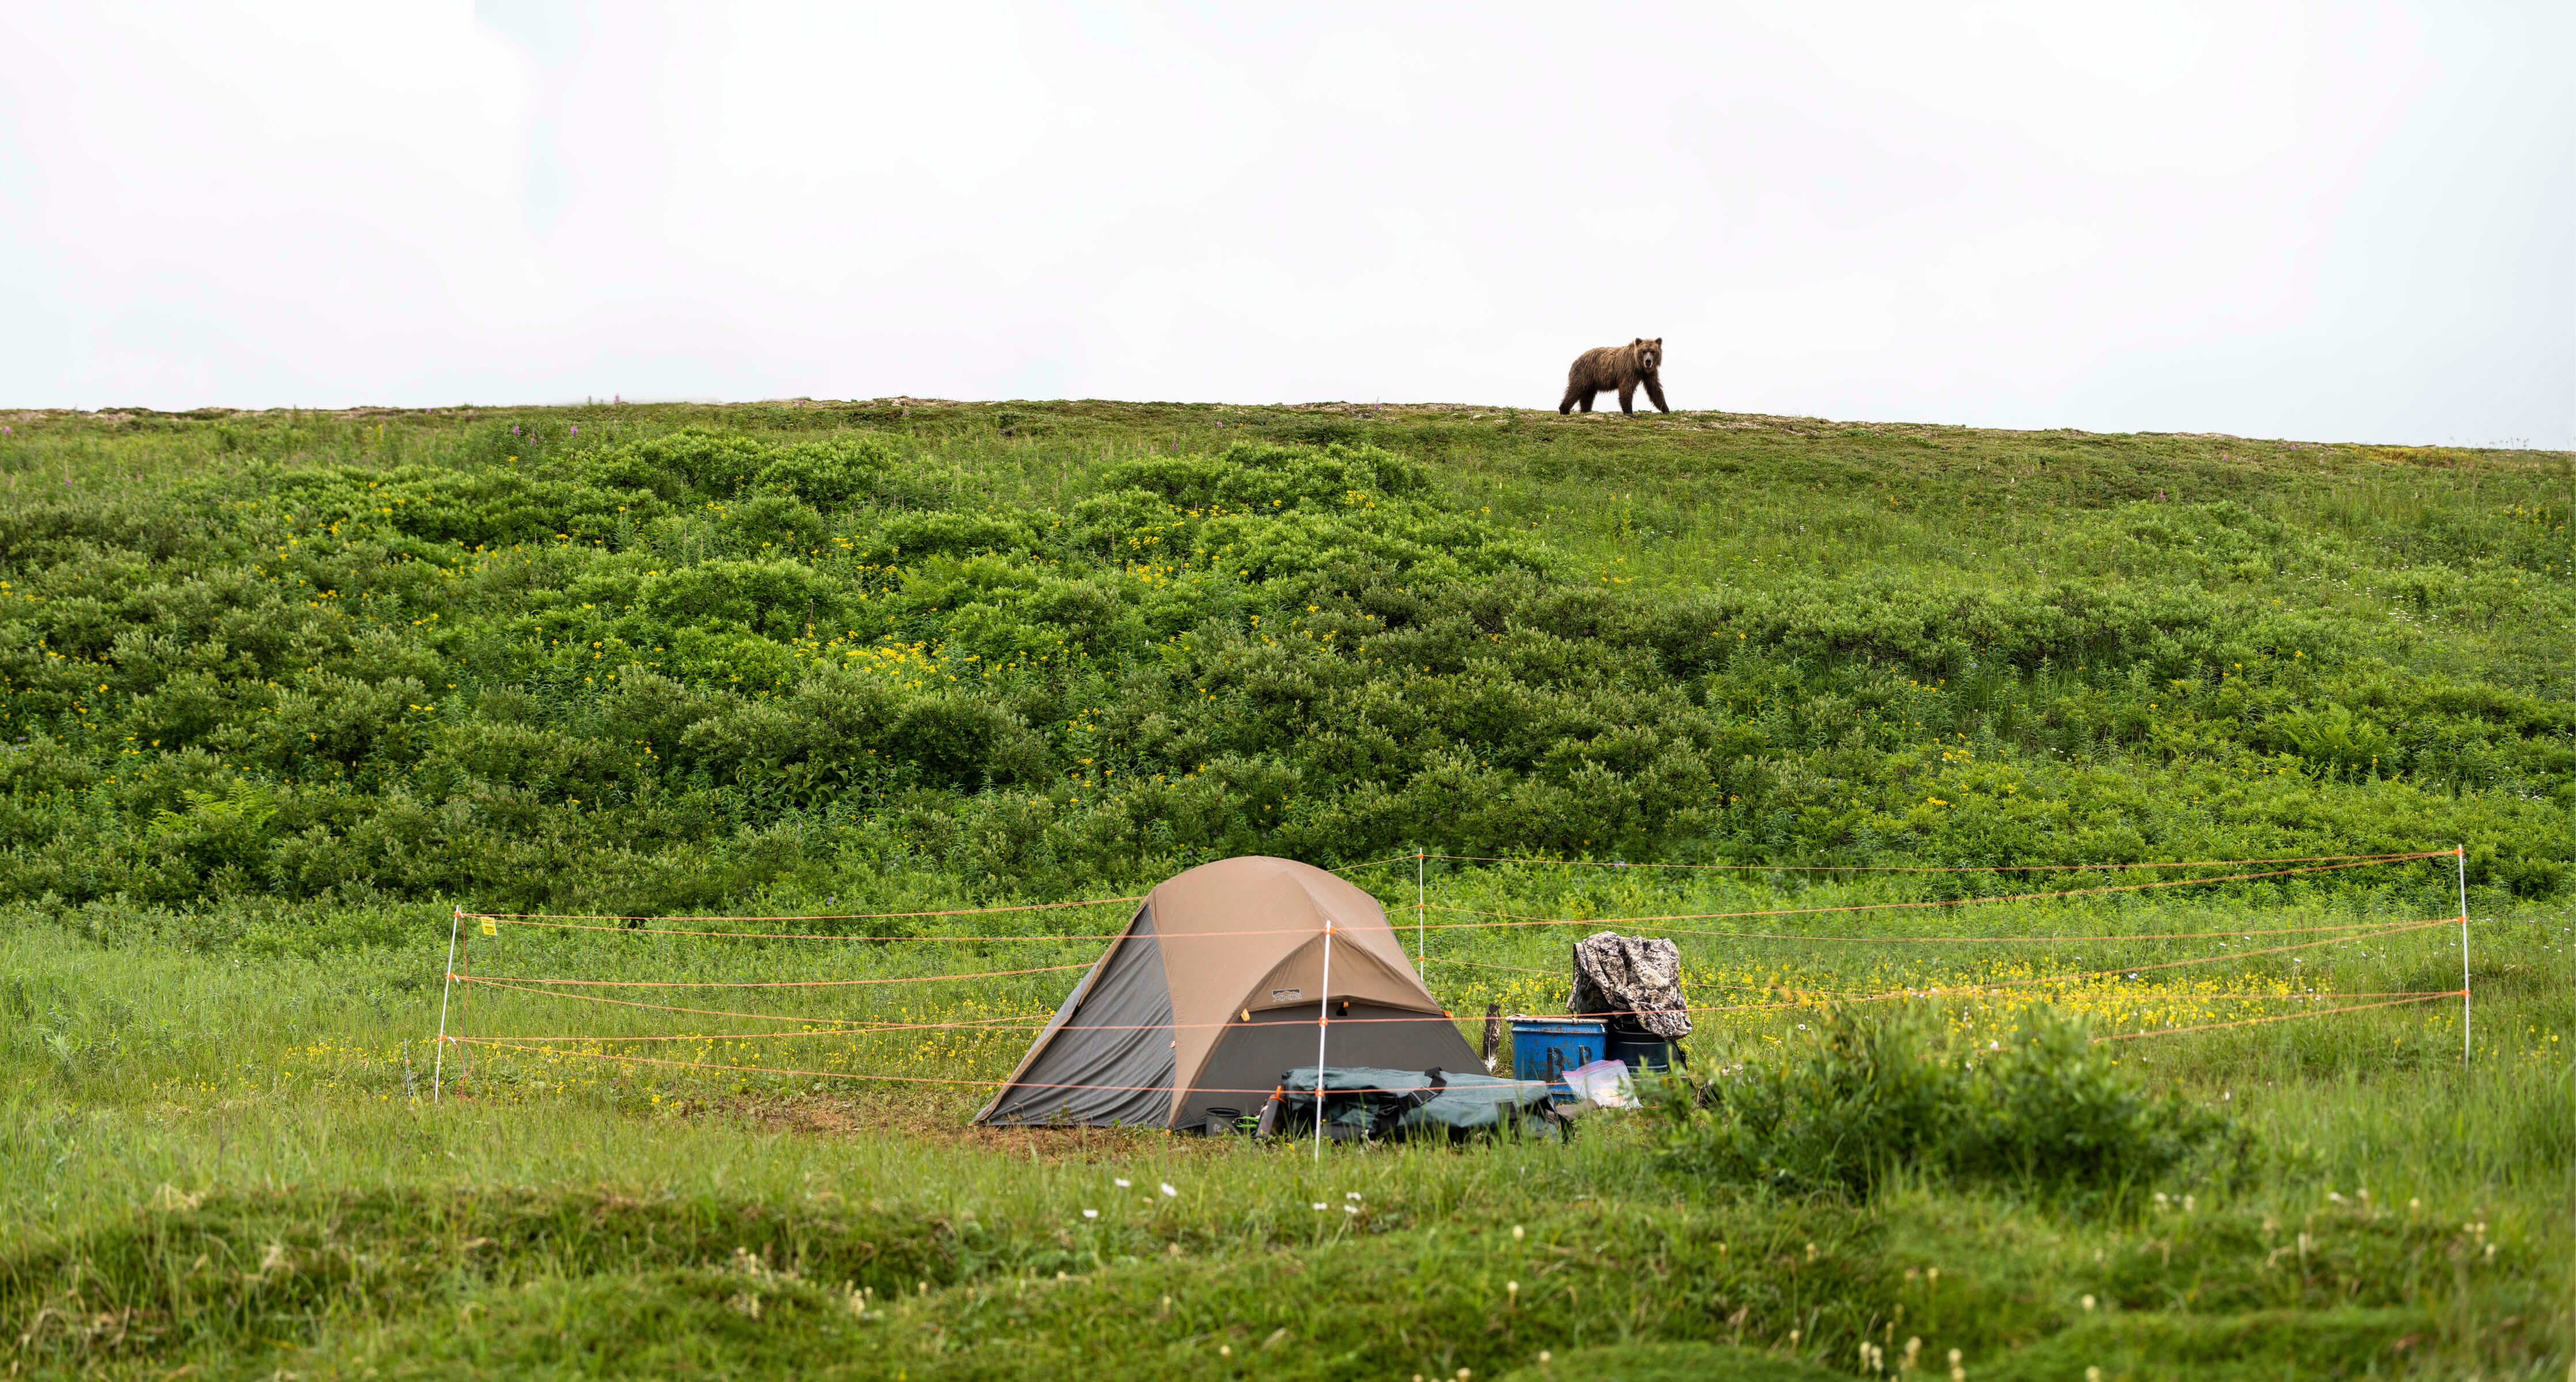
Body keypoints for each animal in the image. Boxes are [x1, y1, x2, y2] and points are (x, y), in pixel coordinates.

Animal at [1545, 340, 1669, 415]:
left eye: (1653, 351)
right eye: (1644, 351)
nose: (1648, 361)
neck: (1639, 367)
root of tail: (1576, 360)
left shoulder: (1650, 374)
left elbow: (1655, 389)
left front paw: (1665, 409)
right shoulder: (1628, 371)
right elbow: (1626, 389)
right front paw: (1629, 411)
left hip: (1591, 382)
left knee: (1587, 397)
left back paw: (1586, 410)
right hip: (1584, 374)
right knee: (1575, 390)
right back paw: (1564, 409)